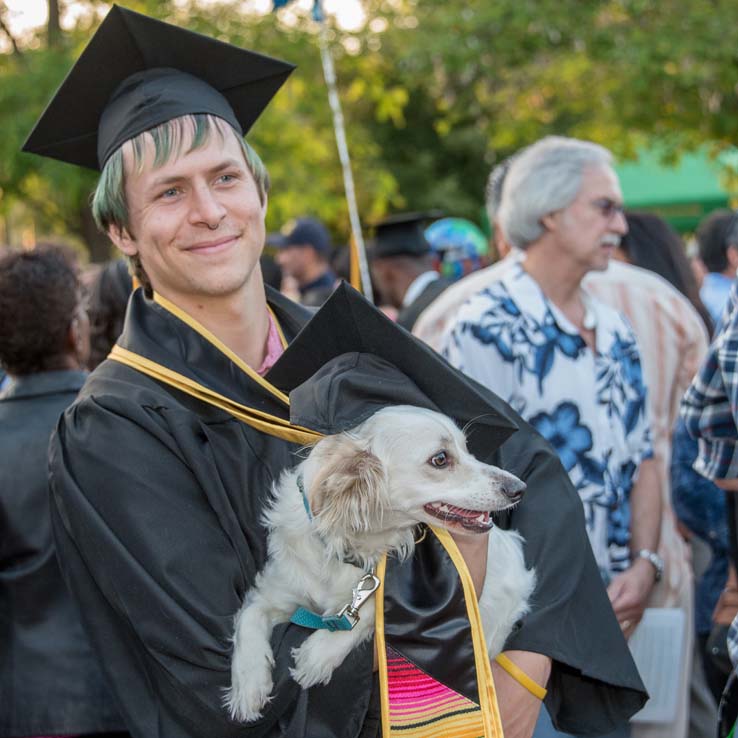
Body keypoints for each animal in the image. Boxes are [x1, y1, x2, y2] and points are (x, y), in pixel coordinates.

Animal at [226, 402, 536, 720]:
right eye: (440, 459)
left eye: (467, 448)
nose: (519, 488)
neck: (349, 550)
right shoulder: (273, 591)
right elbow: (248, 621)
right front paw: (248, 687)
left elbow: (366, 612)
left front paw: (319, 653)